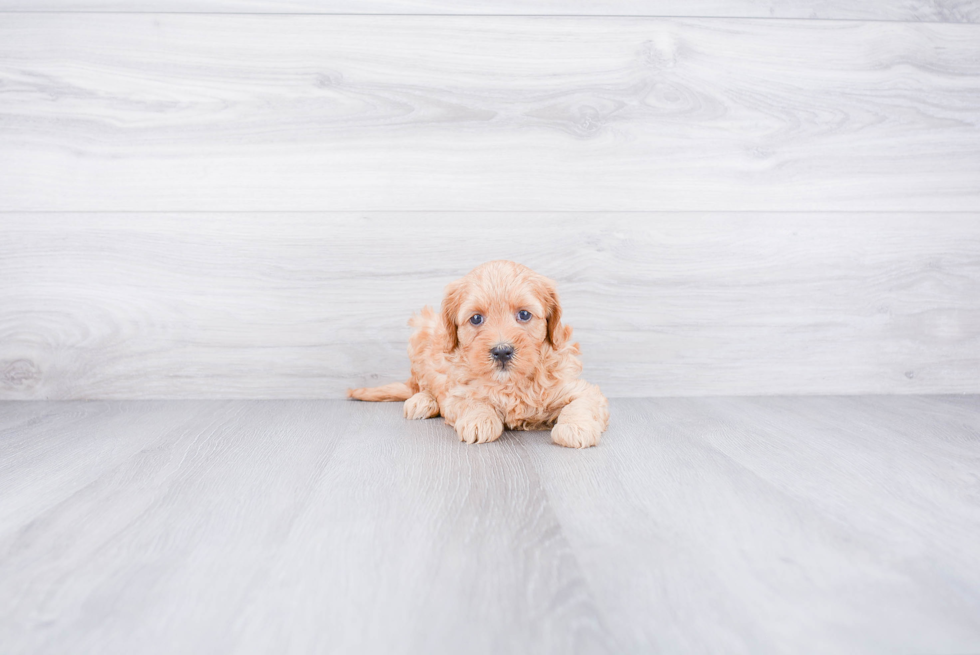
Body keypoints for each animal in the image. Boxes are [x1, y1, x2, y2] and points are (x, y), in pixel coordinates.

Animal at [346, 258, 604, 448]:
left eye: (524, 315)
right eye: (476, 318)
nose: (502, 351)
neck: (511, 383)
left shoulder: (578, 387)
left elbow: (581, 403)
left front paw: (575, 427)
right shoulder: (456, 392)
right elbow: (471, 401)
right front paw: (480, 420)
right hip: (422, 332)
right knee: (420, 384)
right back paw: (422, 401)